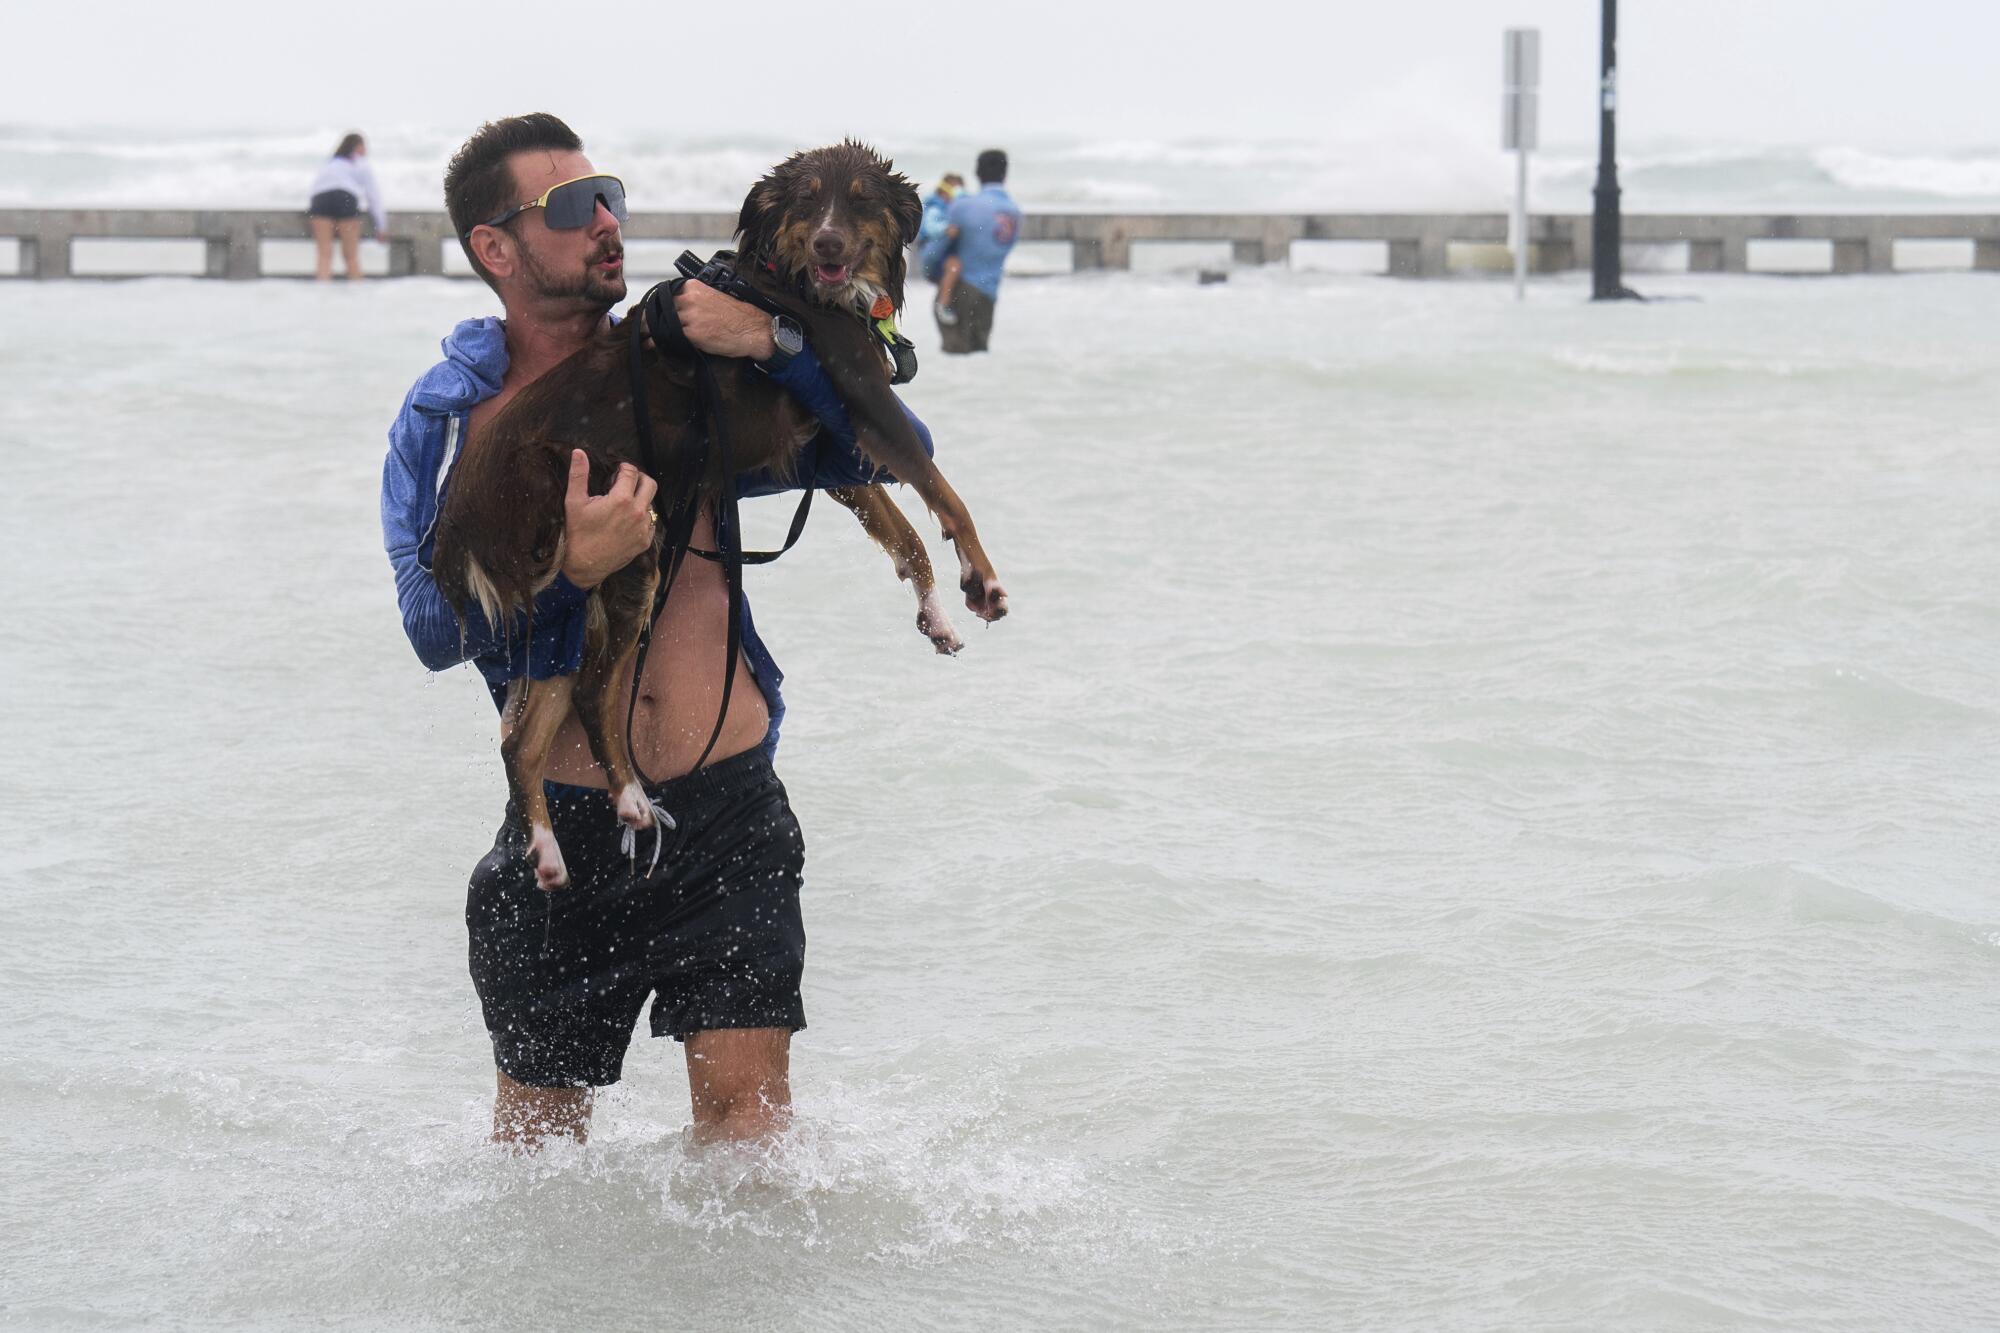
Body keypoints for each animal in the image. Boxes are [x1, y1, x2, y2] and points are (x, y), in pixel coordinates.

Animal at [432, 143, 1008, 880]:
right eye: (807, 200)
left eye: (860, 199)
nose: (828, 242)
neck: (791, 288)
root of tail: (462, 507)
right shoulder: (868, 402)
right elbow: (951, 500)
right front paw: (983, 581)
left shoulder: (829, 447)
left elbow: (905, 534)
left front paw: (936, 612)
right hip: (630, 545)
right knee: (593, 693)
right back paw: (631, 800)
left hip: (571, 606)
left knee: (525, 739)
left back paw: (548, 849)